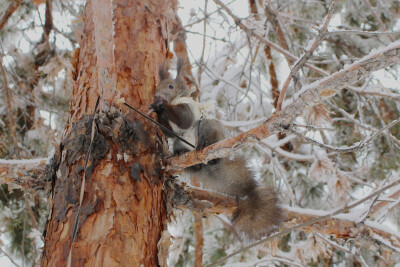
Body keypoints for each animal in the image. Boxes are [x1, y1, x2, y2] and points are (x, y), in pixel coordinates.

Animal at [149, 58, 284, 241]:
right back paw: (186, 157)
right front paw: (157, 110)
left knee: (208, 140)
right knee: (187, 155)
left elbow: (184, 119)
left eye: (170, 86)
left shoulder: (188, 108)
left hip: (207, 127)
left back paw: (207, 150)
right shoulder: (173, 133)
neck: (177, 99)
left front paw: (162, 105)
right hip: (179, 143)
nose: (157, 95)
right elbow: (169, 132)